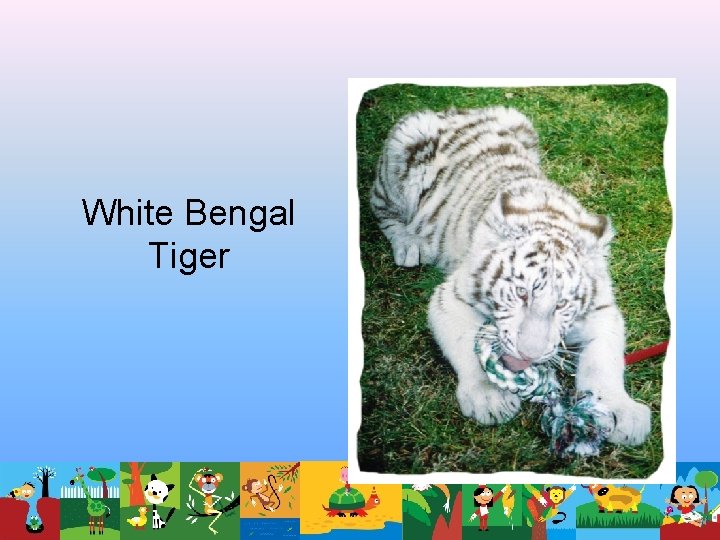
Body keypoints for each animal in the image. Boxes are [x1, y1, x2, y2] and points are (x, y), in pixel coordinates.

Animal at [370, 106, 650, 446]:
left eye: (562, 305)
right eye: (521, 293)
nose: (529, 356)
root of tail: (453, 111)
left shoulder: (603, 311)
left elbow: (603, 362)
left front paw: (620, 411)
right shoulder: (450, 298)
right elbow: (467, 346)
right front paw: (489, 398)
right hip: (405, 150)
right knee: (380, 206)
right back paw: (409, 244)